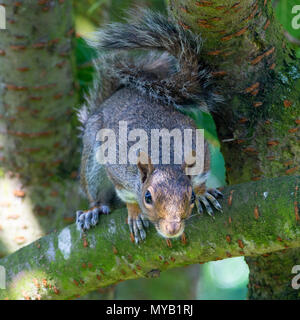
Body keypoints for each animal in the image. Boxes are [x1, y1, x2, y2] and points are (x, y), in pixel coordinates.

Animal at [76, 10, 224, 245]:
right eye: (148, 197)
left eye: (190, 196)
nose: (172, 228)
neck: (165, 156)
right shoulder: (118, 169)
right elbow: (127, 195)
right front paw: (135, 214)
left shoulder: (201, 152)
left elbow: (200, 177)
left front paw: (203, 194)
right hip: (92, 160)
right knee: (94, 192)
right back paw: (94, 209)